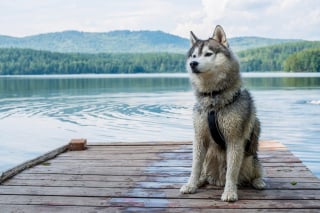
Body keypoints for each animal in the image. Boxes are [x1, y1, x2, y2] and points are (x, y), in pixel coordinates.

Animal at [180, 25, 264, 201]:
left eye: (208, 54)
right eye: (194, 55)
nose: (192, 63)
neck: (213, 98)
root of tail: (217, 180)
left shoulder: (234, 140)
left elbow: (231, 171)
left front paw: (230, 192)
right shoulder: (199, 137)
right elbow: (195, 166)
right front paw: (191, 184)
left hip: (250, 158)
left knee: (256, 170)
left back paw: (258, 182)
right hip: (208, 159)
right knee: (204, 172)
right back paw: (201, 181)